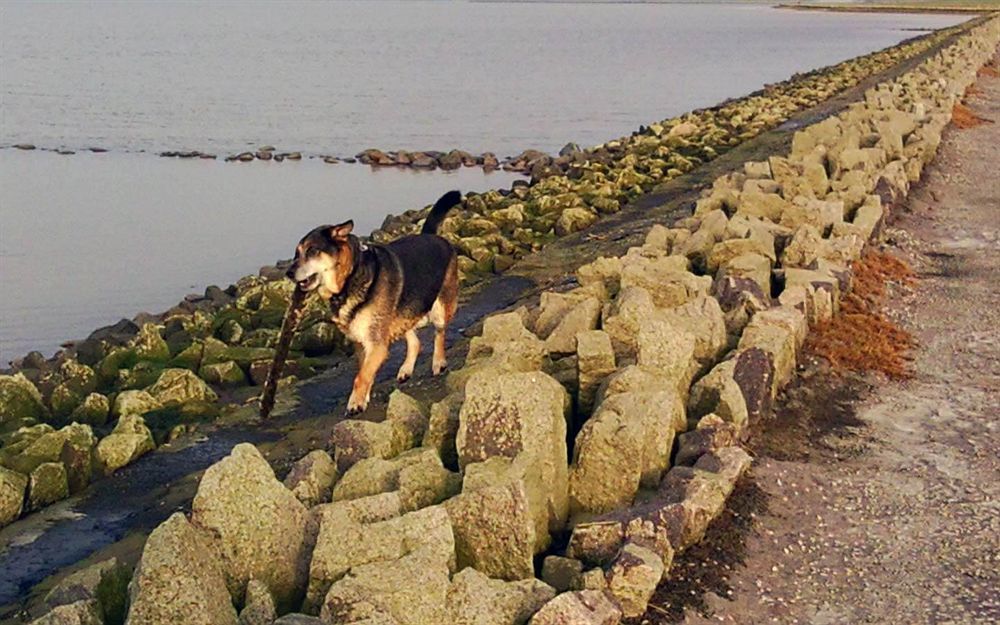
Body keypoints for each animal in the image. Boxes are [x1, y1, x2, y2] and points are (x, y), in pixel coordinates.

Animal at [288, 190, 462, 414]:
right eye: (297, 253)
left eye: (312, 251)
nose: (288, 272)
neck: (350, 277)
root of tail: (430, 235)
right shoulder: (361, 342)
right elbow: (365, 371)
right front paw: (364, 396)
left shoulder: (376, 343)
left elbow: (360, 377)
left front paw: (355, 402)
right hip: (402, 312)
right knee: (414, 341)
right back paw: (406, 369)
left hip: (439, 306)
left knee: (439, 333)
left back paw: (438, 362)